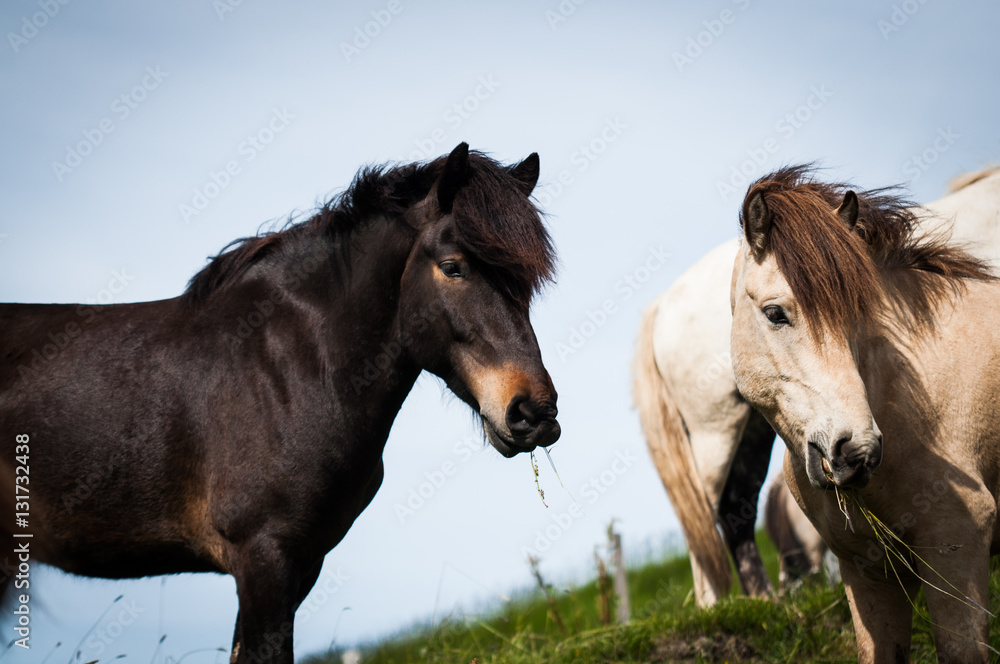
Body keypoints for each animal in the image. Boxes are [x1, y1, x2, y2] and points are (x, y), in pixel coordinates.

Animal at [0, 143, 561, 664]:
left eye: (527, 281)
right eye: (452, 267)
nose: (535, 413)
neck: (288, 367)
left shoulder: (300, 562)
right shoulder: (263, 554)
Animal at [634, 166, 1000, 606]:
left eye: (861, 312)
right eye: (775, 313)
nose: (858, 449)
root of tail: (662, 304)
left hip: (750, 430)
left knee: (735, 507)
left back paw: (768, 603)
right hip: (714, 433)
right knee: (704, 521)